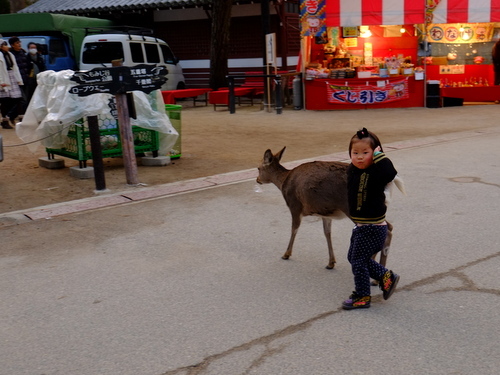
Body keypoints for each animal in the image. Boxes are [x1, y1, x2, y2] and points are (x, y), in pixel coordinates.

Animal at [256, 146, 404, 270]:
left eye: (258, 168)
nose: (257, 179)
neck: (283, 182)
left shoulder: (295, 205)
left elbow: (294, 229)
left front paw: (286, 254)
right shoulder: (325, 213)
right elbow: (327, 233)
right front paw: (331, 262)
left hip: (355, 208)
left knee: (386, 229)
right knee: (388, 227)